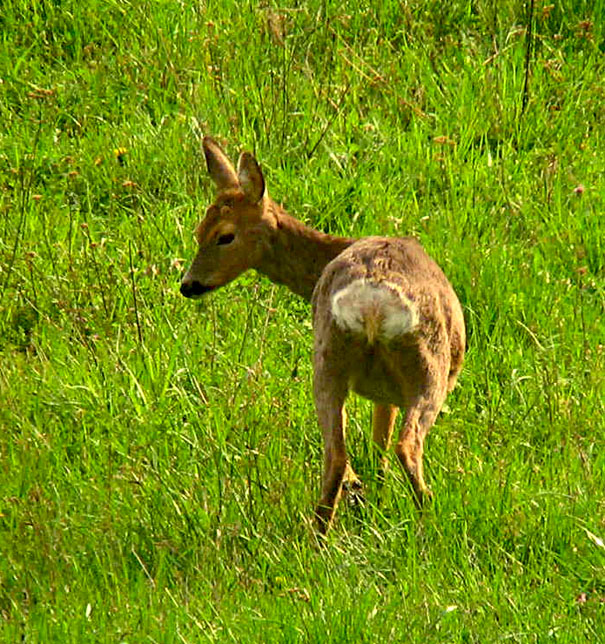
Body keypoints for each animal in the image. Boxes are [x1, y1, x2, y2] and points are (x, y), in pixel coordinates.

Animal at [179, 138, 462, 536]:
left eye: (223, 235)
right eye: (200, 231)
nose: (188, 285)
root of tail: (372, 305)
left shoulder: (382, 393)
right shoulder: (390, 393)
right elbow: (381, 444)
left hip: (329, 359)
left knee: (337, 455)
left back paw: (322, 532)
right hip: (426, 369)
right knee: (404, 447)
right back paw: (426, 526)